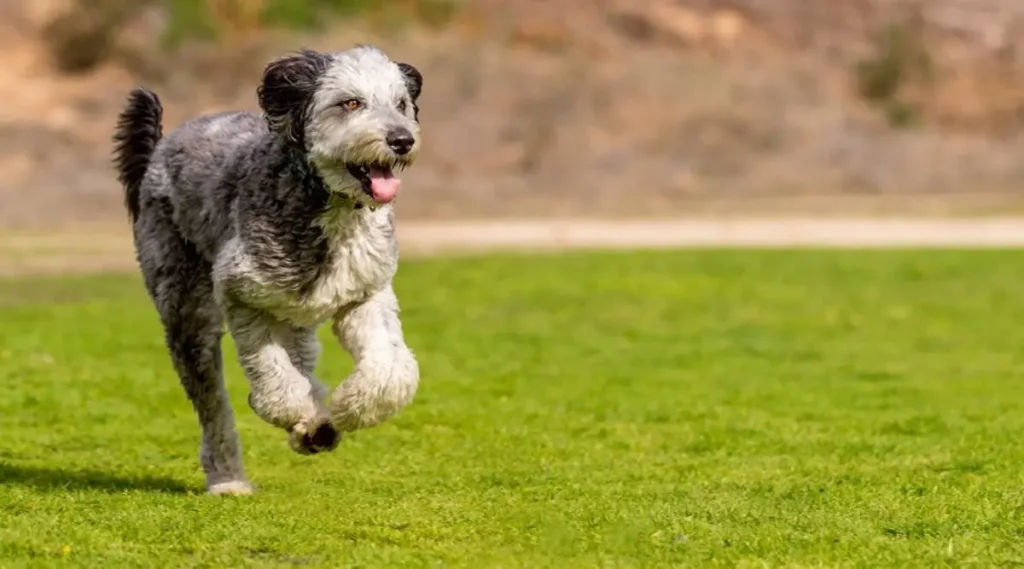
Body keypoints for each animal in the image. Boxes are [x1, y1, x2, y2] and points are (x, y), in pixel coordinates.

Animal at [115, 46, 423, 495]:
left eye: (401, 104)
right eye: (350, 103)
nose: (402, 140)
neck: (328, 206)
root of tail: (159, 149)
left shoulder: (365, 295)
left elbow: (390, 370)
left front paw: (349, 407)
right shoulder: (243, 296)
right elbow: (273, 380)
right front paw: (299, 411)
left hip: (296, 319)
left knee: (303, 363)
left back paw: (317, 425)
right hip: (187, 313)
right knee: (214, 409)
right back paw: (230, 478)